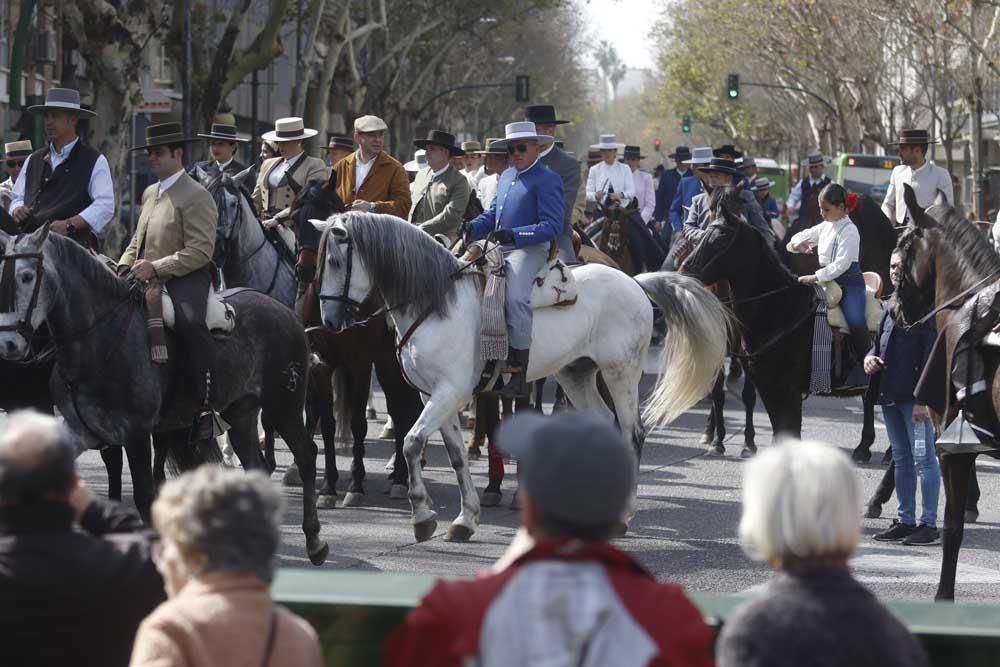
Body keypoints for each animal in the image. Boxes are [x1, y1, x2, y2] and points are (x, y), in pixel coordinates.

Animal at [312, 214, 728, 544]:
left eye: (334, 261)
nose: (329, 322)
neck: (437, 304)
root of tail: (634, 282)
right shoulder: (435, 396)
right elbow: (456, 457)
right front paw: (465, 520)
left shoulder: (449, 392)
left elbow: (412, 442)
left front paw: (423, 517)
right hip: (576, 374)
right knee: (605, 425)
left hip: (620, 373)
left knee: (632, 433)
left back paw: (623, 516)